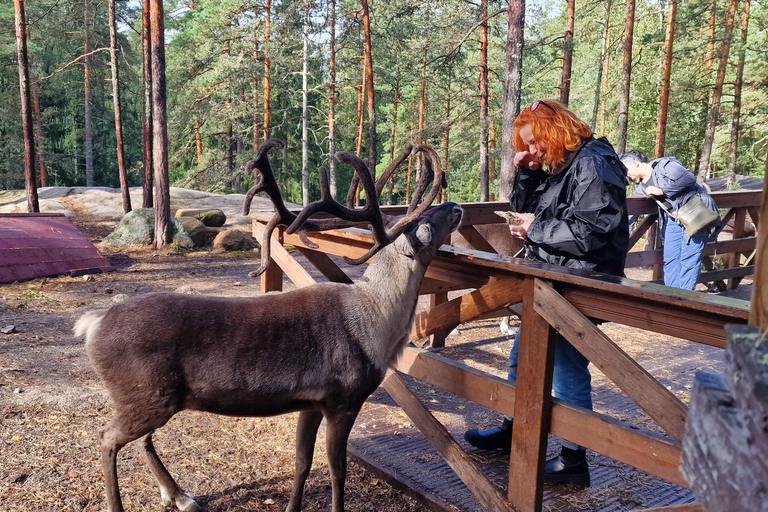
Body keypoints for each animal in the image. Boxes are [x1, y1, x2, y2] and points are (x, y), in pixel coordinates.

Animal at [74, 139, 463, 512]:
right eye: (427, 223)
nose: (456, 205)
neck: (377, 326)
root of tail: (93, 324)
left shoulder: (311, 403)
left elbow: (302, 462)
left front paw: (292, 507)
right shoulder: (343, 399)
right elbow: (337, 471)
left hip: (151, 399)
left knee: (142, 440)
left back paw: (179, 496)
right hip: (145, 397)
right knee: (106, 438)